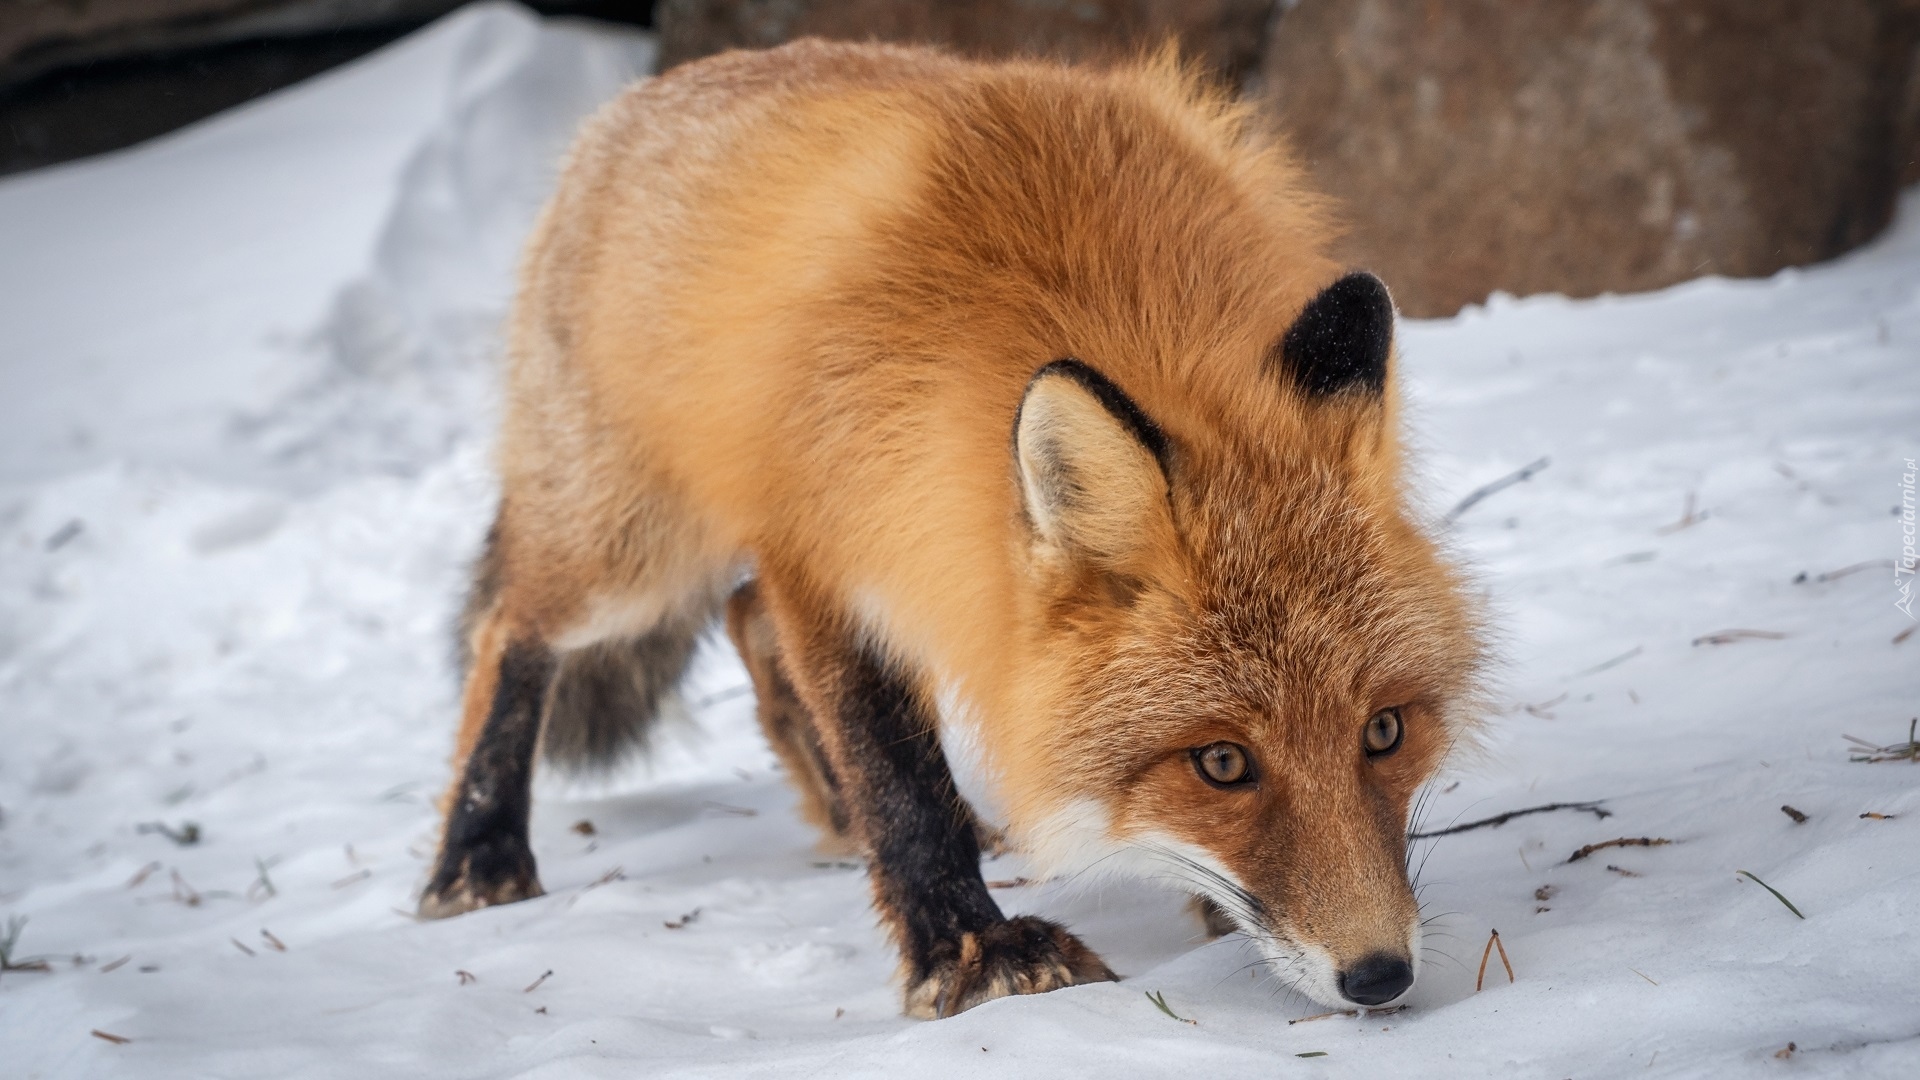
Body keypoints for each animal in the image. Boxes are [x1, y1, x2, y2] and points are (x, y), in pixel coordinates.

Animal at [424, 39, 1482, 1014]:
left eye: (1385, 731)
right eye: (1221, 764)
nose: (1380, 977)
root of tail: (634, 103)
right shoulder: (830, 552)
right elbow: (899, 779)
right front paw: (970, 953)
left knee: (744, 621)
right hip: (631, 552)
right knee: (510, 630)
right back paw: (476, 857)